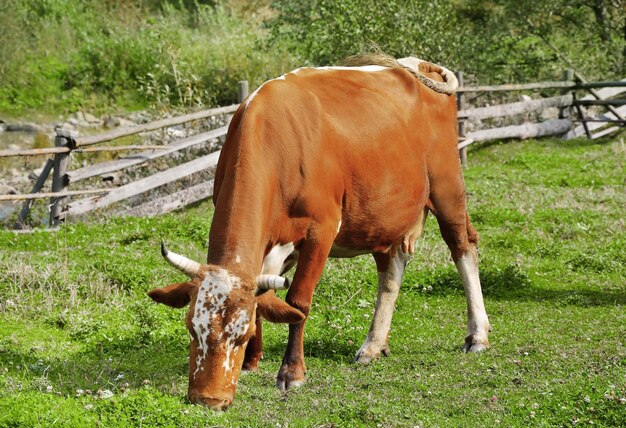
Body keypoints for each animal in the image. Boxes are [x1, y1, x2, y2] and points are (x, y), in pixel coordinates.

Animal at [146, 53, 488, 412]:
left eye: (239, 336)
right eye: (191, 329)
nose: (208, 399)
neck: (275, 143)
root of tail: (416, 65)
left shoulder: (320, 231)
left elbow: (298, 301)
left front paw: (291, 372)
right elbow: (263, 298)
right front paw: (253, 360)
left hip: (447, 186)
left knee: (463, 245)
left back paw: (477, 334)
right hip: (382, 215)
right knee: (391, 270)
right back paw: (373, 345)